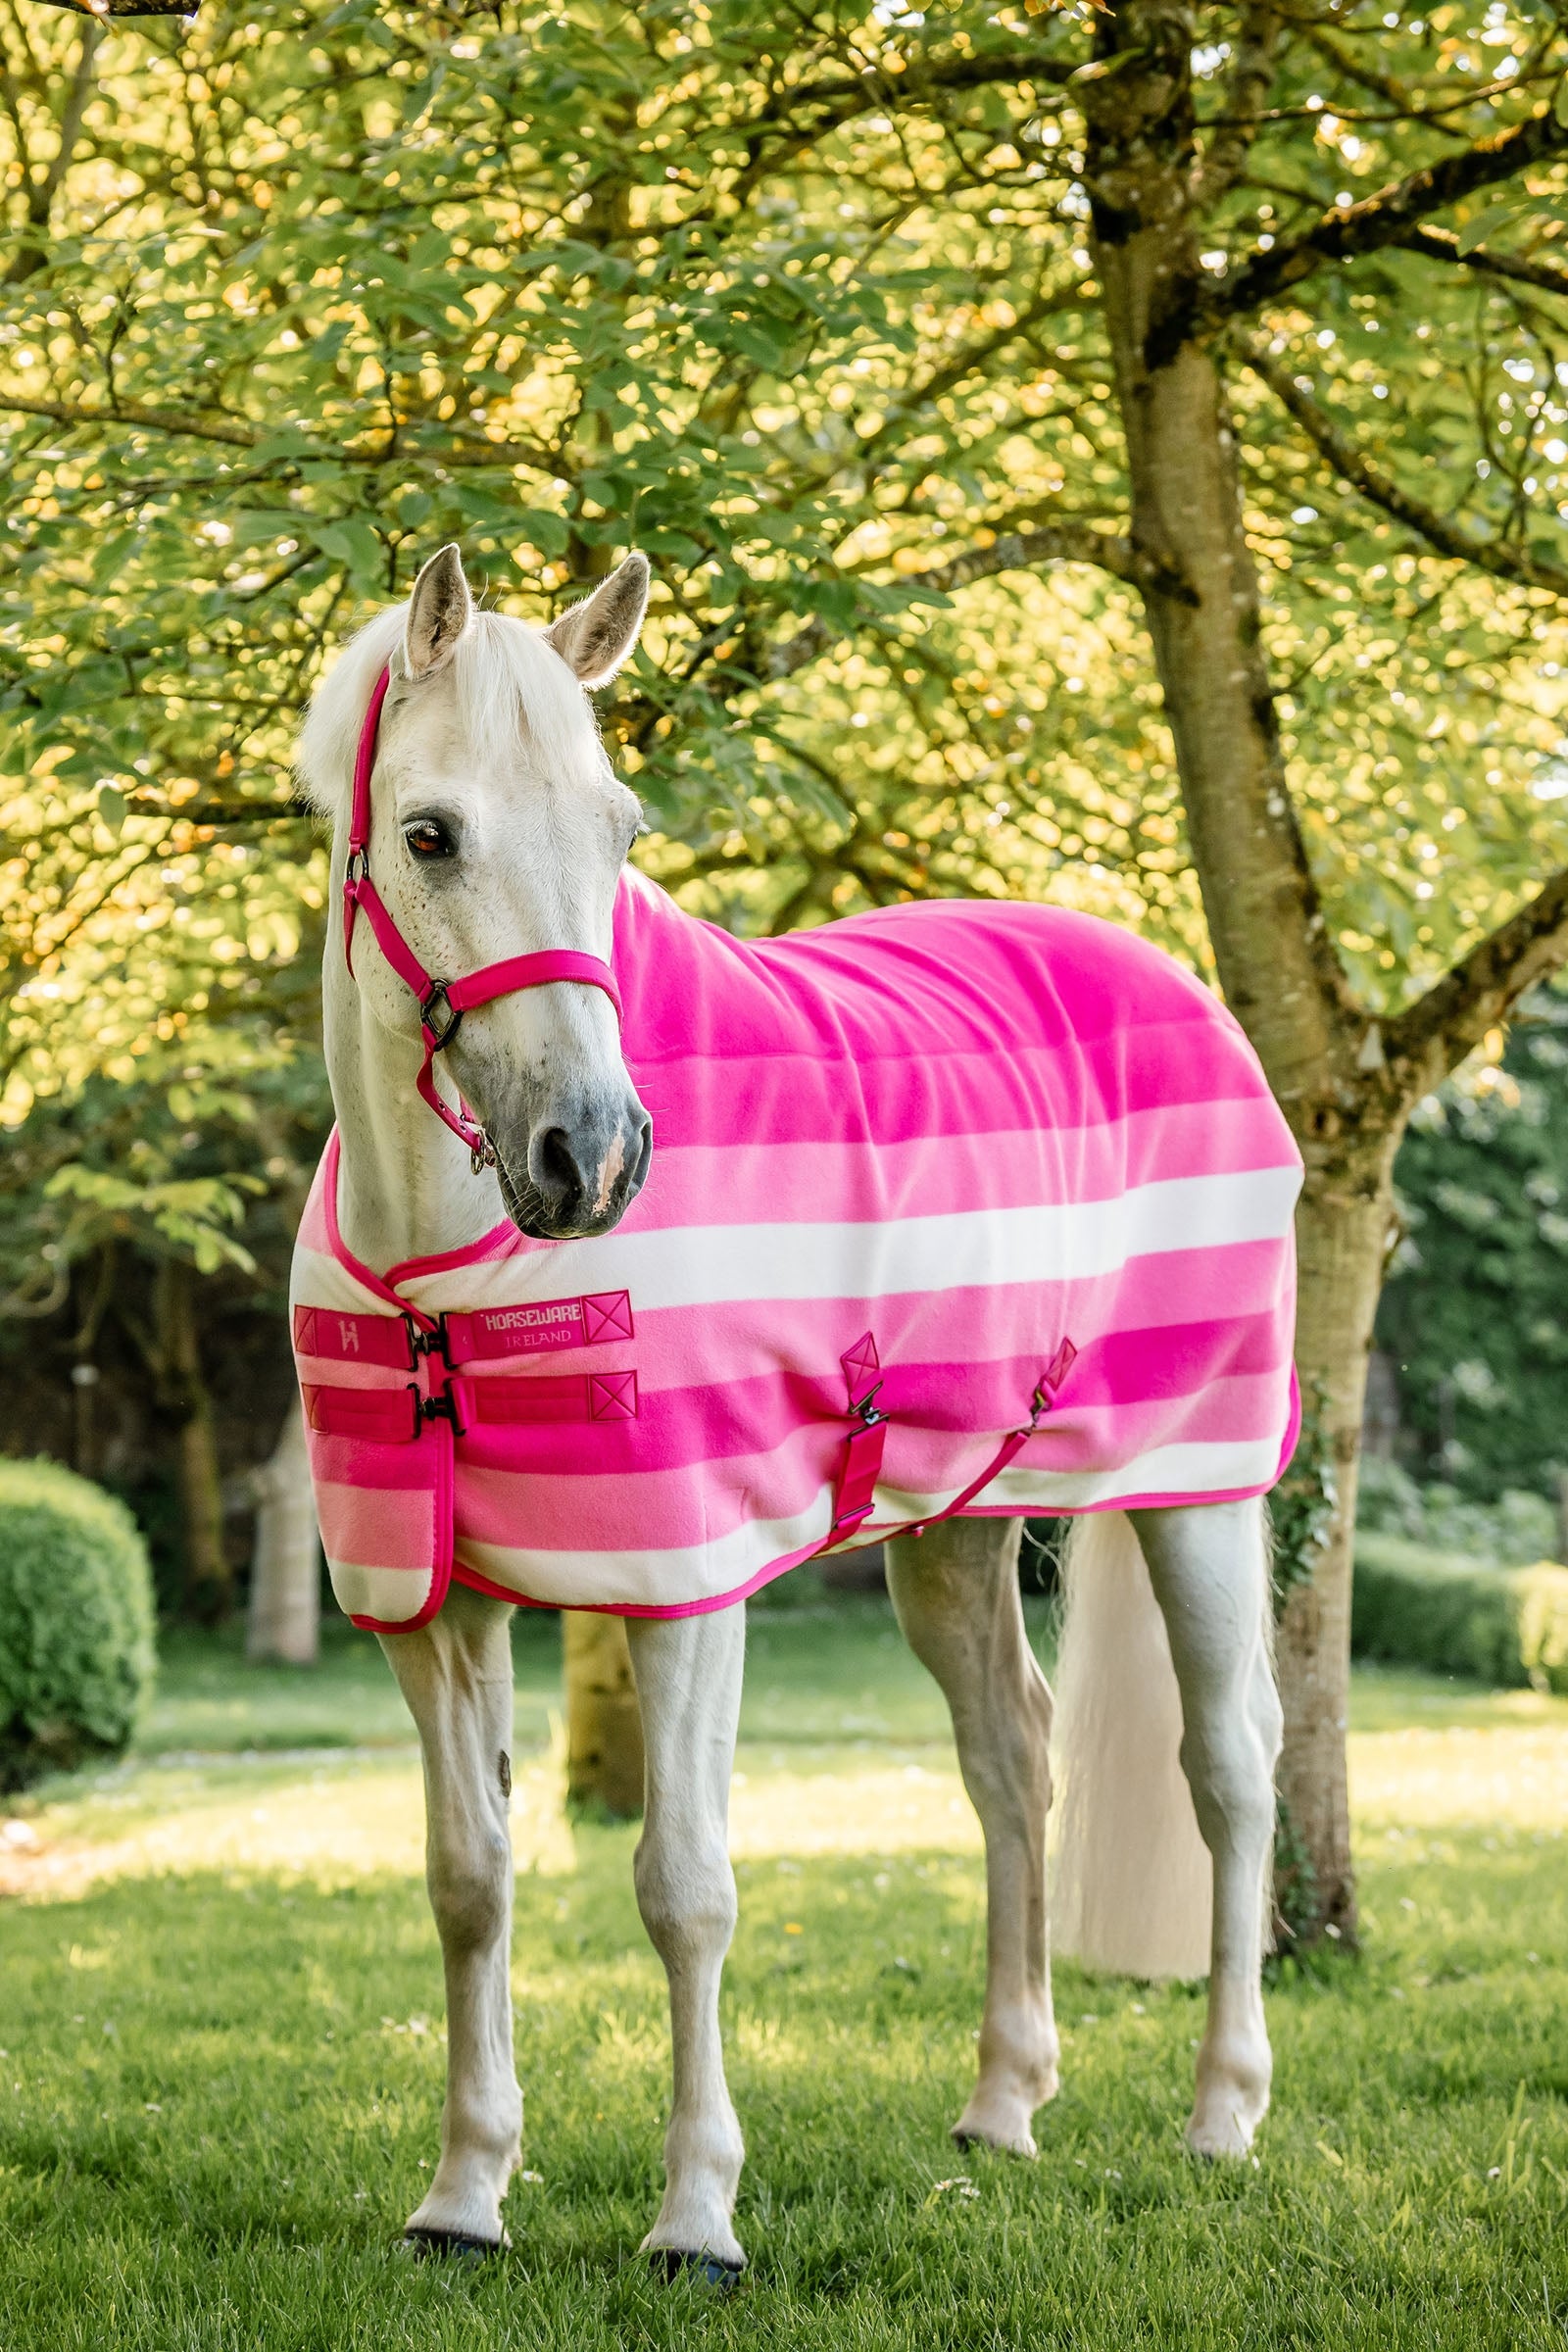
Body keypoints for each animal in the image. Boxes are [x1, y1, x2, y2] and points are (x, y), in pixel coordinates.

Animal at [290, 542, 1295, 2274]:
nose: (593, 1155)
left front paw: (696, 2217)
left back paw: (1224, 2111)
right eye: (429, 834)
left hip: (1203, 1492)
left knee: (1230, 1766)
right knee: (1011, 1760)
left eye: (620, 829)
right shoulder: (432, 1605)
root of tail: (1176, 977)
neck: (448, 1273)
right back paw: (1003, 2104)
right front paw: (464, 2195)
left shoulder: (684, 1585)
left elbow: (685, 1888)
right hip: (955, 1527)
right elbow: (468, 1882)